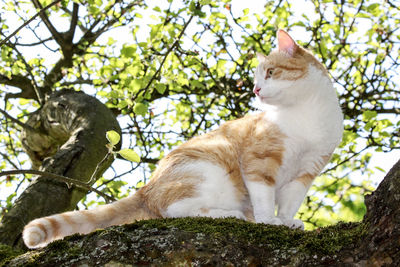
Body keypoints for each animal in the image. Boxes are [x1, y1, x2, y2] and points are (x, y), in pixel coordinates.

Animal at [22, 30, 344, 250]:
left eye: (270, 72)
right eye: (256, 78)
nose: (256, 90)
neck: (307, 115)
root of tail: (147, 188)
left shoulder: (306, 171)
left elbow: (290, 201)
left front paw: (287, 220)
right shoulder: (259, 161)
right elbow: (264, 196)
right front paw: (268, 220)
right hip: (207, 169)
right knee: (175, 210)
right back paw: (230, 215)